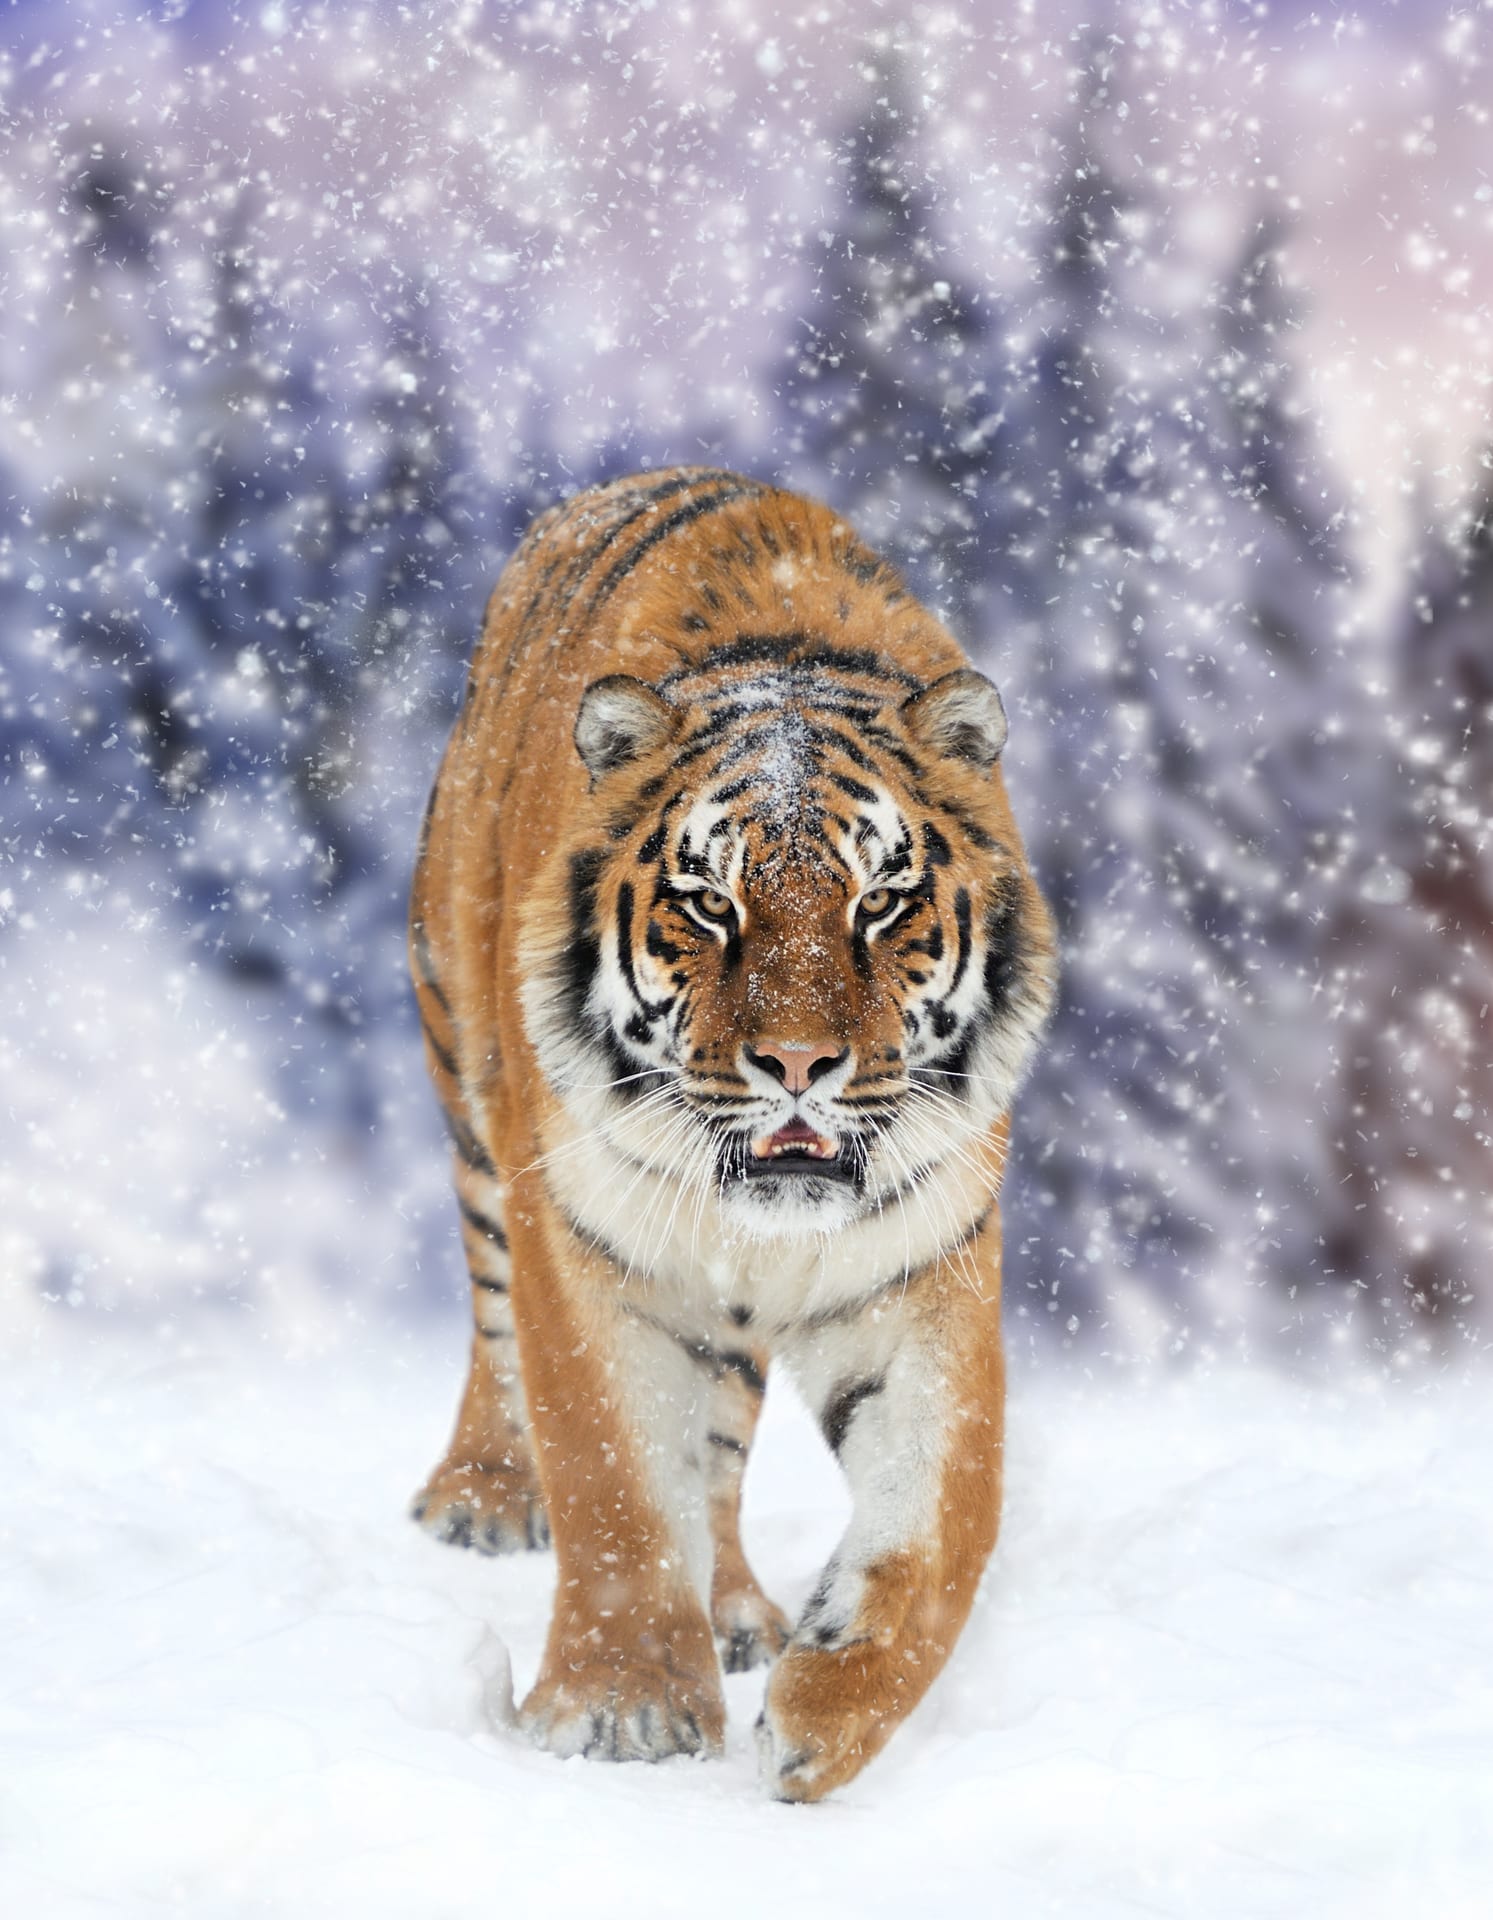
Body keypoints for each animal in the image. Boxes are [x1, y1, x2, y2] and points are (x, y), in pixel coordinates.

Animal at [407, 466, 1057, 1801]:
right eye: (710, 904)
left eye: (881, 902)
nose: (797, 1065)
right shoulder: (585, 1244)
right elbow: (611, 1478)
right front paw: (617, 1714)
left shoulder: (922, 1272)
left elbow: (939, 1525)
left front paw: (821, 1717)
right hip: (469, 1089)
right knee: (495, 1326)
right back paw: (483, 1498)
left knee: (713, 1449)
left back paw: (744, 1617)